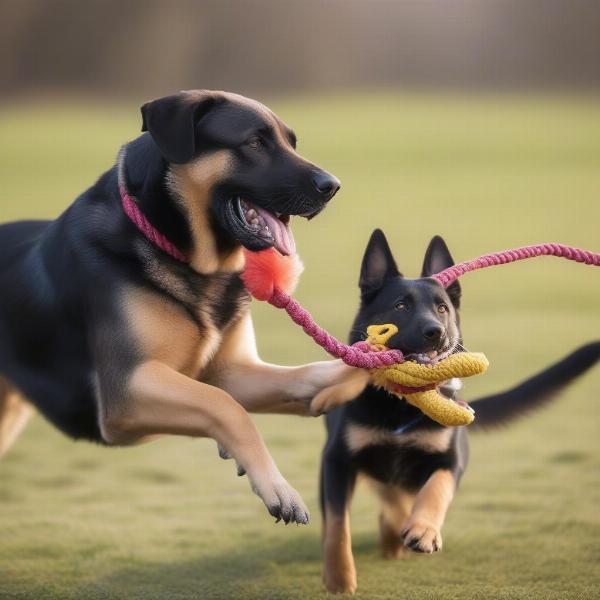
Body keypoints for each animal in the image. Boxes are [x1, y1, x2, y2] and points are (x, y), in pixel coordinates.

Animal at [0, 89, 366, 524]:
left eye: (291, 143)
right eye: (254, 142)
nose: (334, 186)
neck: (186, 257)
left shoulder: (229, 372)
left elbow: (304, 375)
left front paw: (351, 377)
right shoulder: (126, 393)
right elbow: (224, 406)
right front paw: (278, 488)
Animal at [316, 229, 596, 592]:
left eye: (442, 308)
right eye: (400, 305)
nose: (435, 332)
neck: (402, 404)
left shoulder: (451, 459)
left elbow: (437, 489)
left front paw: (424, 530)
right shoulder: (337, 460)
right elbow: (338, 524)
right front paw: (339, 579)